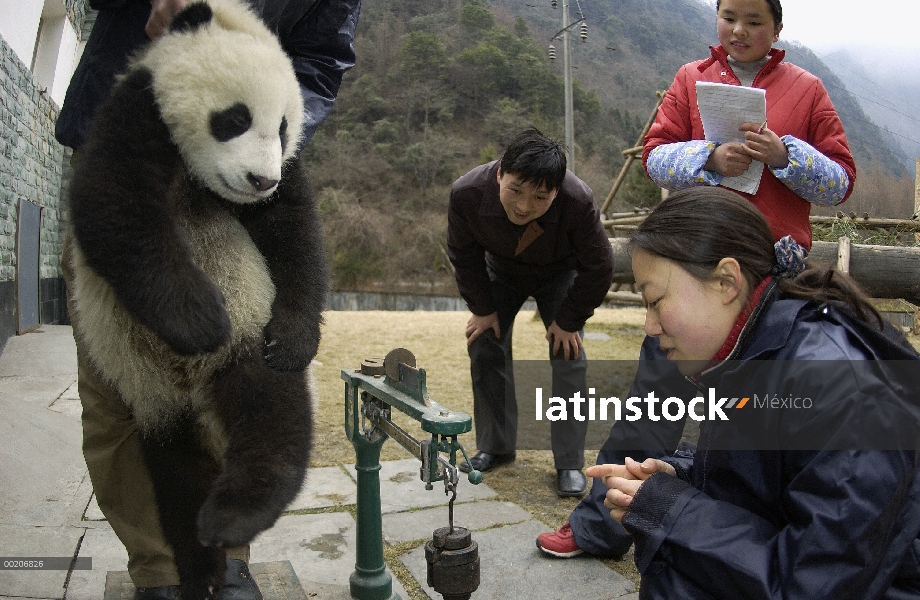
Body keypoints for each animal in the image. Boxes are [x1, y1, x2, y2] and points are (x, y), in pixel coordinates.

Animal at [63, 0, 328, 596]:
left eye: (283, 128)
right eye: (234, 118)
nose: (258, 179)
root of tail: (196, 389)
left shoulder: (286, 177)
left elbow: (293, 234)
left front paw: (294, 337)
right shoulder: (135, 112)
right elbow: (114, 206)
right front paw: (199, 319)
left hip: (249, 334)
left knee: (270, 412)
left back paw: (234, 517)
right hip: (150, 393)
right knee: (175, 478)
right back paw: (197, 563)